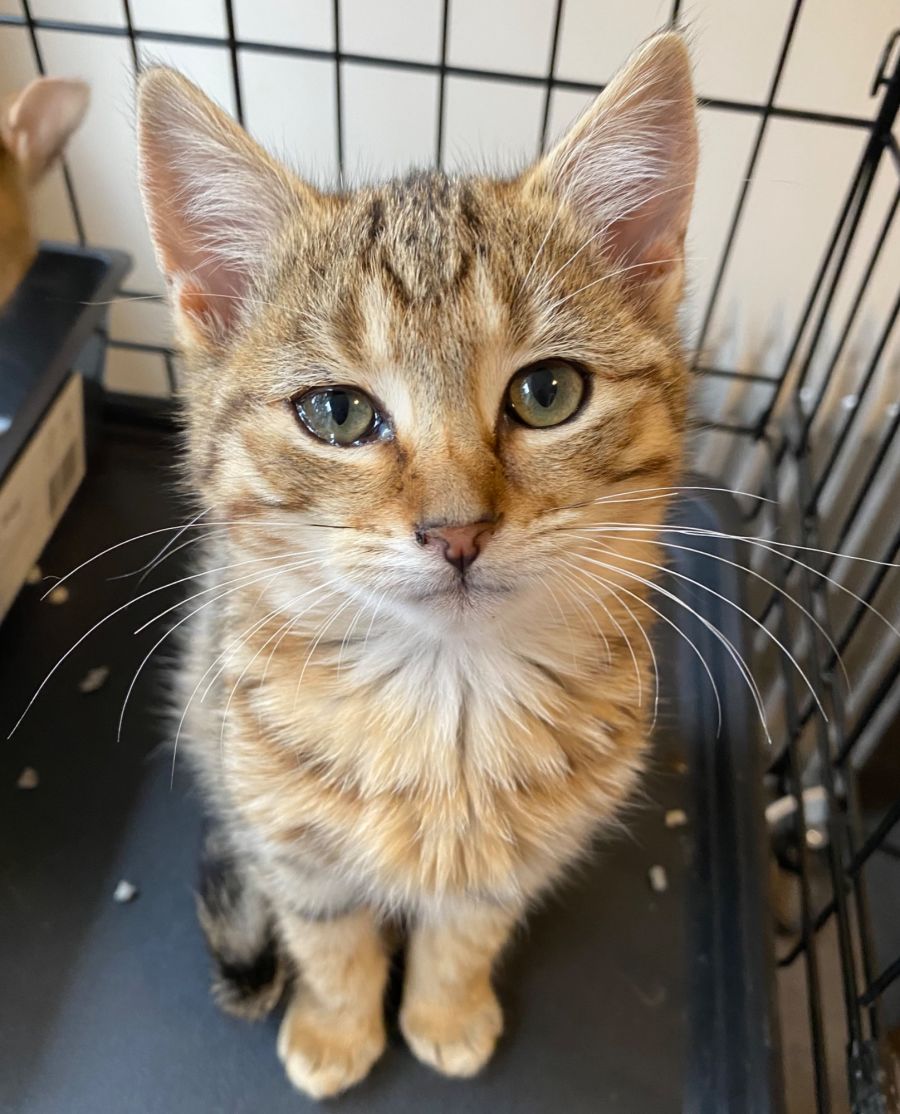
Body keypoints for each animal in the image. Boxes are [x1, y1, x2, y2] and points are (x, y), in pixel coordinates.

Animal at [137, 30, 698, 1099]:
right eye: (336, 413)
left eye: (549, 392)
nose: (457, 530)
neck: (447, 702)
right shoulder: (288, 840)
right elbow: (330, 941)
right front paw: (336, 1028)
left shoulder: (518, 859)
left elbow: (467, 931)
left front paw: (445, 1009)